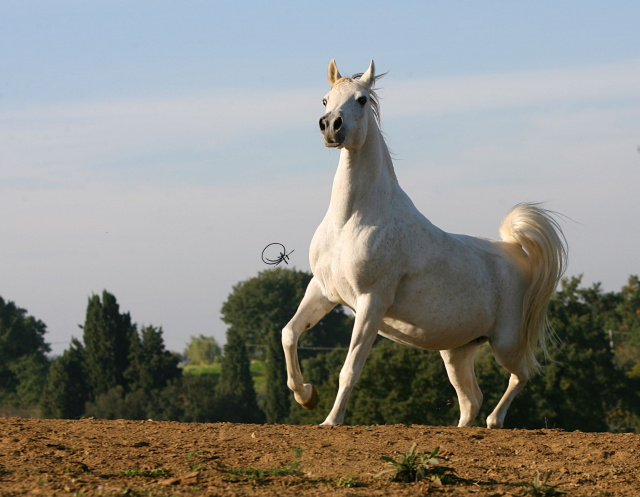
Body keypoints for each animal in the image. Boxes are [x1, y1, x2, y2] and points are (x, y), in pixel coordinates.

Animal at [282, 59, 568, 426]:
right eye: (325, 99)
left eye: (361, 99)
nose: (332, 126)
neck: (352, 220)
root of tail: (517, 253)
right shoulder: (323, 290)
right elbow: (290, 333)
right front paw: (306, 396)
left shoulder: (371, 302)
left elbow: (350, 369)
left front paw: (330, 420)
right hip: (457, 350)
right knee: (471, 399)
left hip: (505, 343)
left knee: (523, 374)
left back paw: (494, 421)